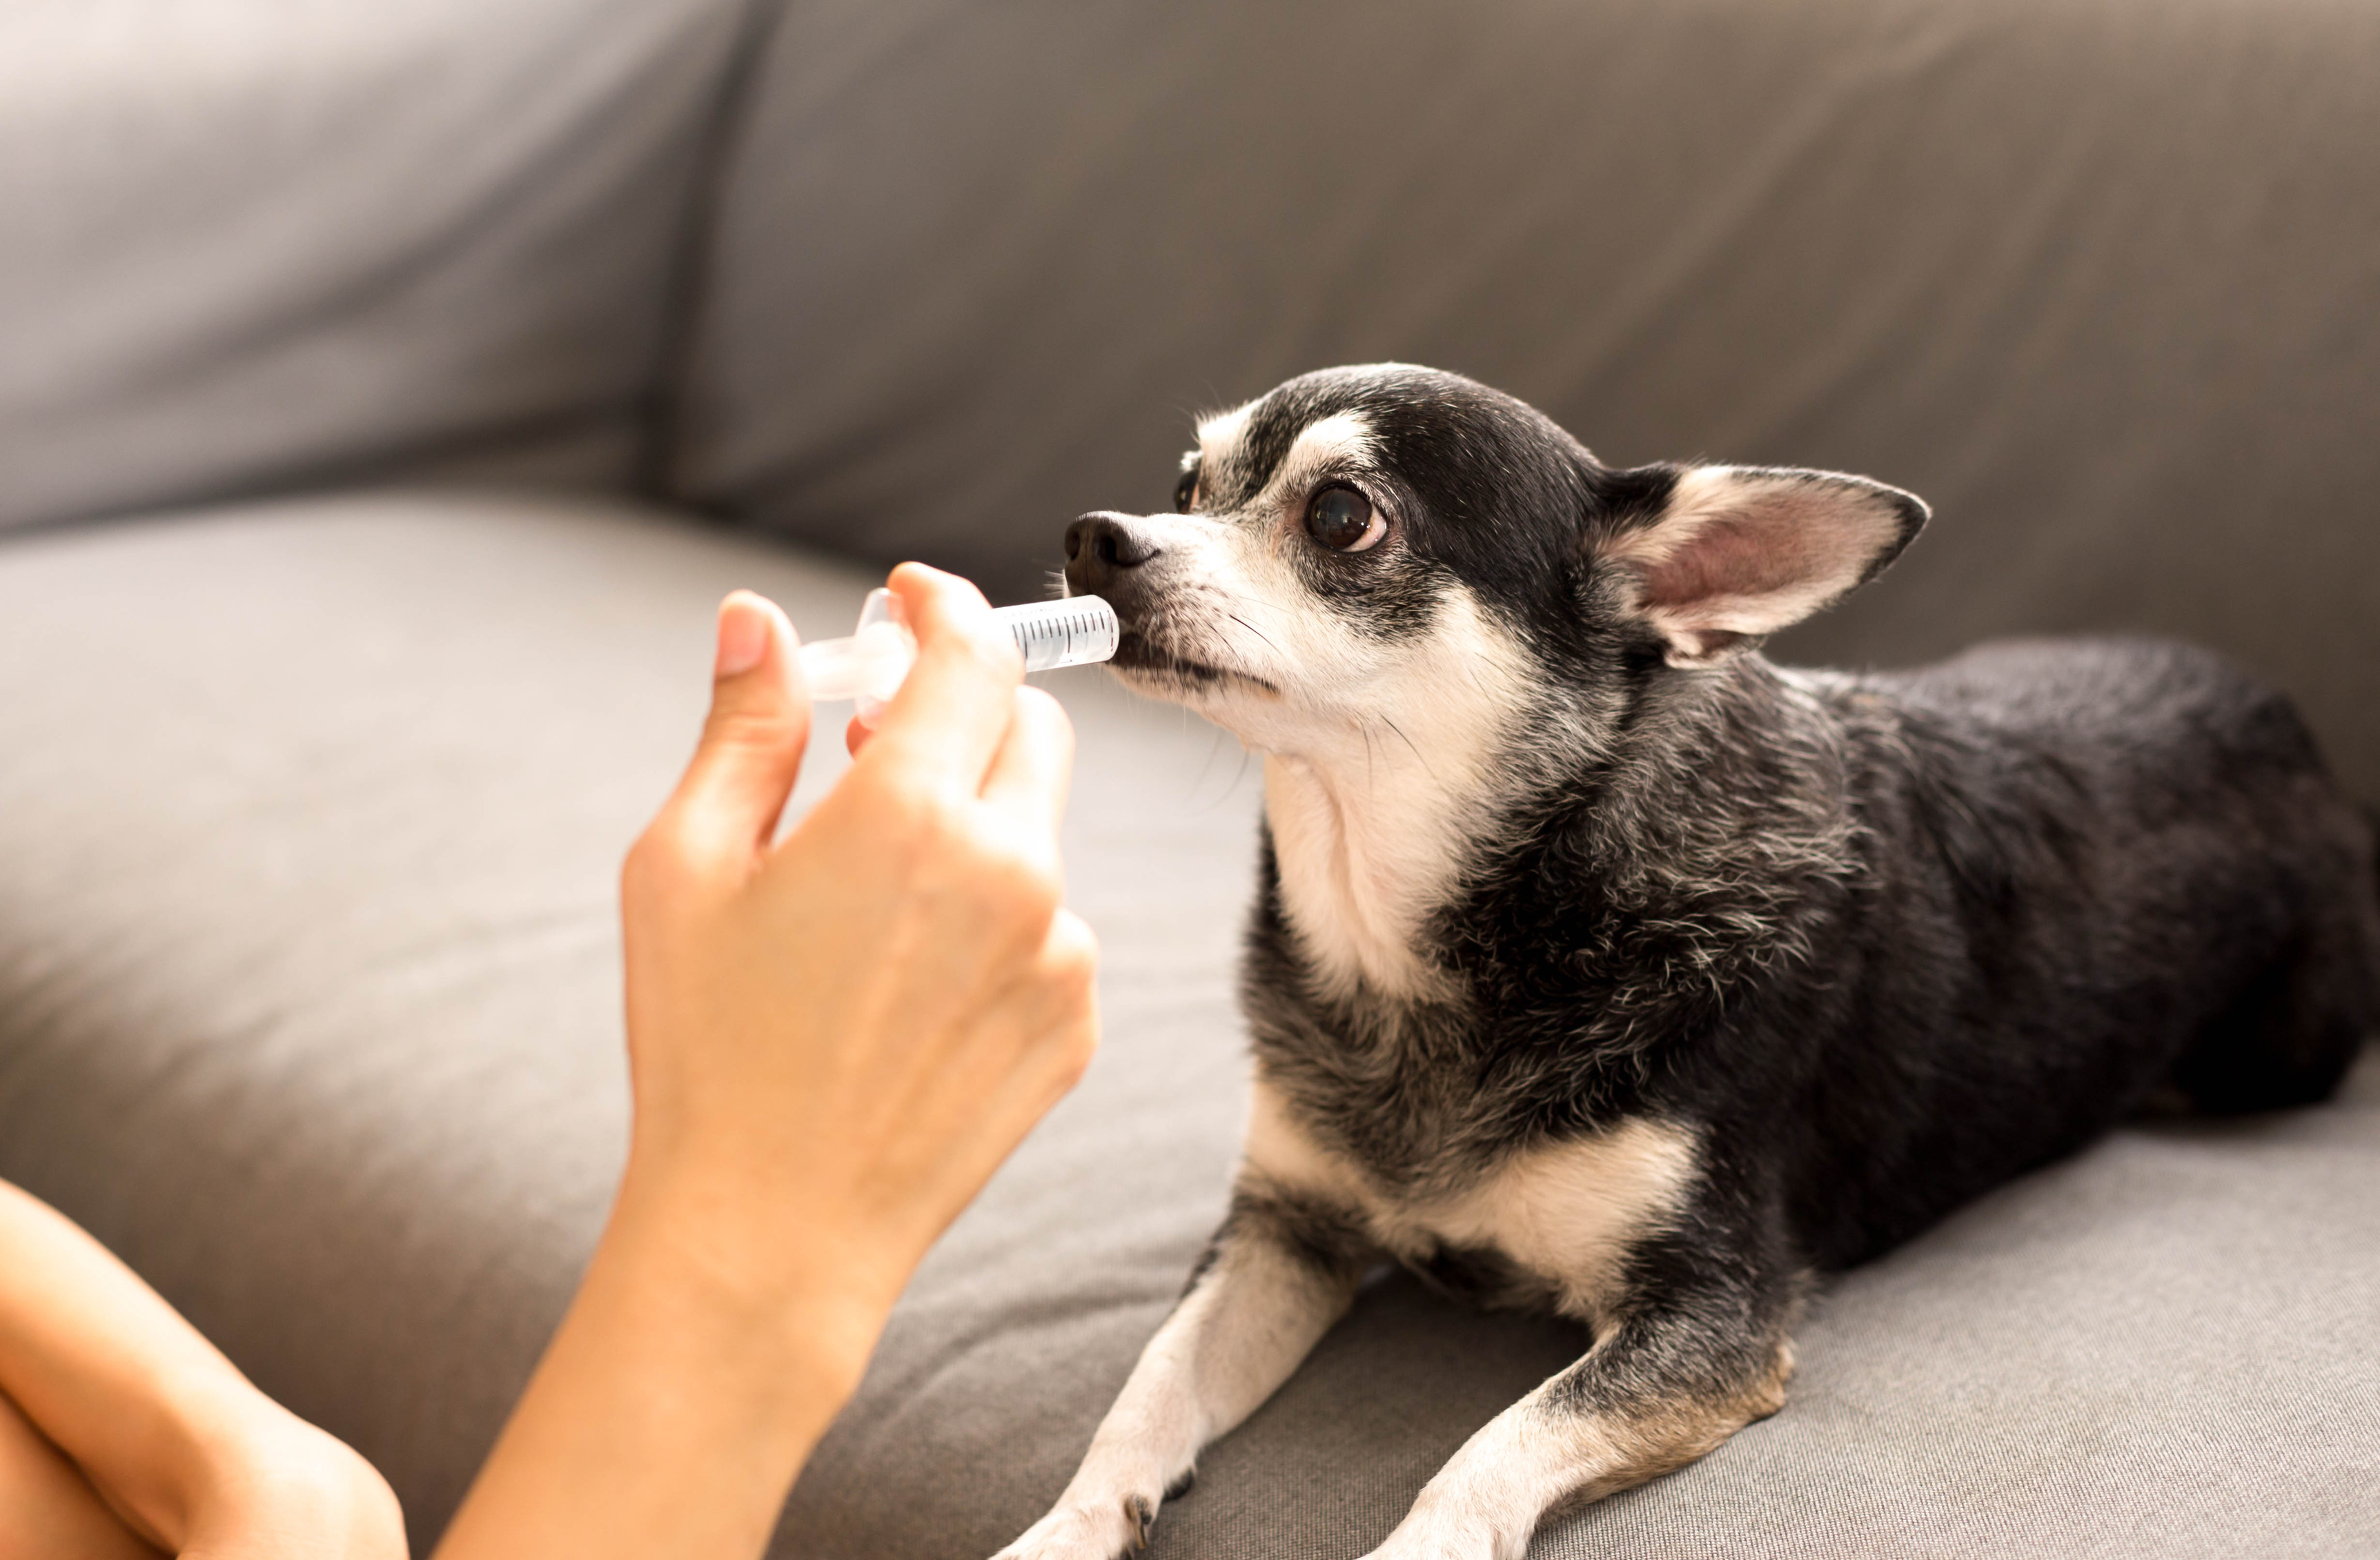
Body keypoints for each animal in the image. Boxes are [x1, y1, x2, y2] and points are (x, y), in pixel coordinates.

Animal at [990, 361, 2380, 1560]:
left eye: (1340, 517)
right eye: (1187, 486)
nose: (1096, 535)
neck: (1437, 942)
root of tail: (2303, 742)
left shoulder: (1708, 1319)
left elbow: (1487, 1451)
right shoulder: (1285, 1230)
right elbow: (1148, 1387)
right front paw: (1060, 1531)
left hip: (2273, 1053)